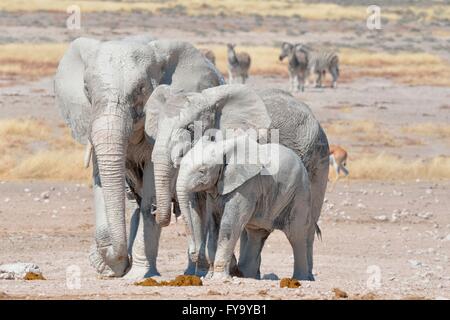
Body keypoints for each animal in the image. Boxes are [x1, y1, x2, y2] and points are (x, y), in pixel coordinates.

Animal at [55, 34, 225, 276]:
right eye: (87, 89)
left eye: (141, 90)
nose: (122, 262)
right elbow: (101, 183)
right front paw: (109, 268)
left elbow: (149, 199)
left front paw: (135, 274)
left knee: (198, 209)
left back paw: (196, 272)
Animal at [177, 135, 312, 280]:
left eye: (202, 171)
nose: (193, 253)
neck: (223, 147)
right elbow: (213, 224)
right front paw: (209, 277)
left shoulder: (246, 186)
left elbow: (229, 224)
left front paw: (220, 278)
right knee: (257, 233)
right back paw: (247, 275)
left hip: (300, 192)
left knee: (296, 234)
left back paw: (300, 279)